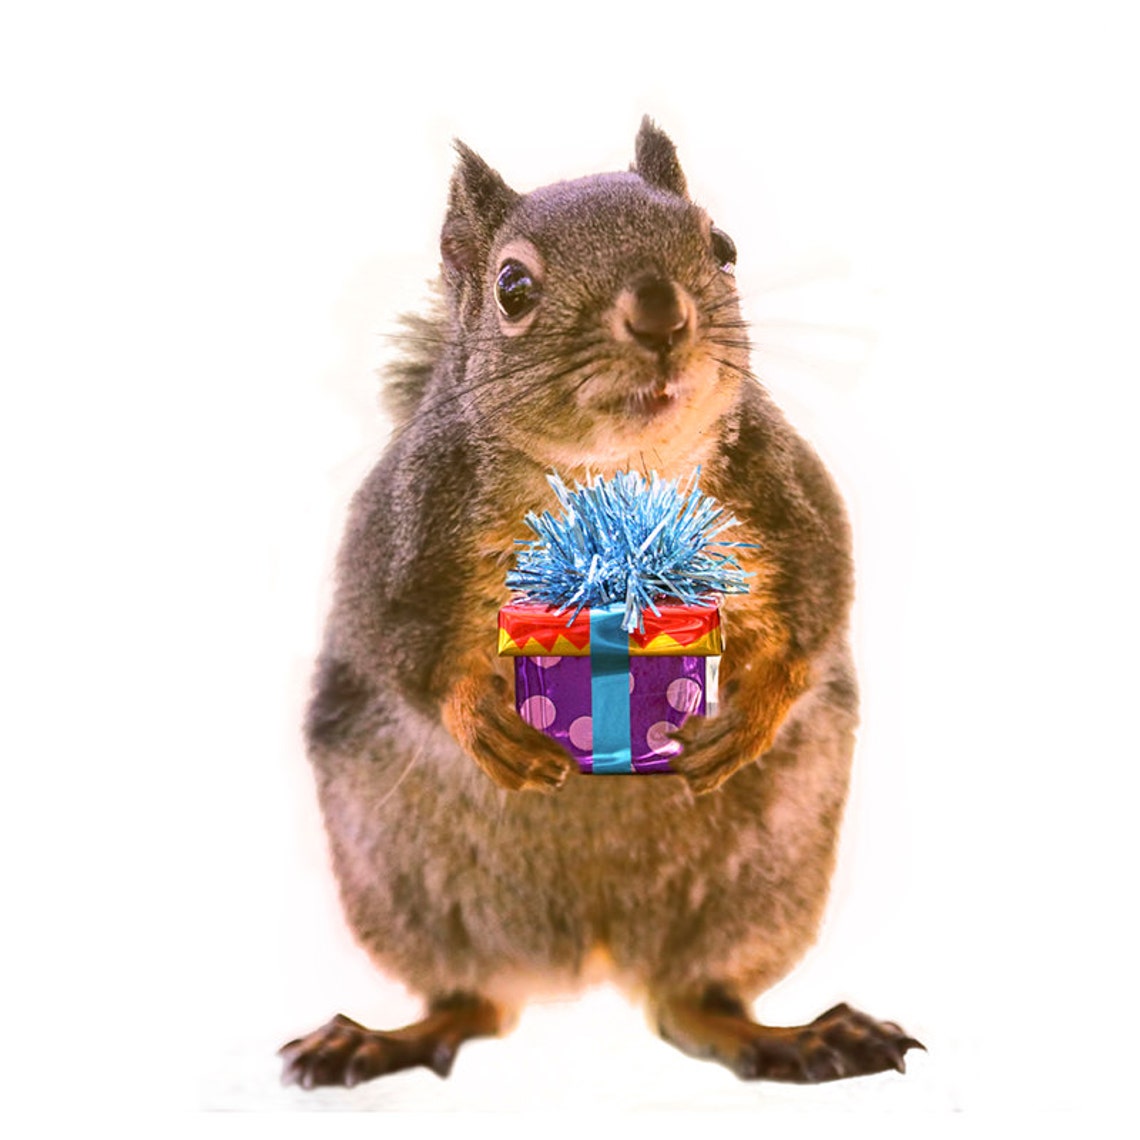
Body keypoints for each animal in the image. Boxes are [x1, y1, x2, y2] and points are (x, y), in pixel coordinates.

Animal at [280, 118, 922, 1089]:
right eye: (512, 287)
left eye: (722, 246)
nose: (661, 314)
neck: (615, 475)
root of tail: (595, 953)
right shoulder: (398, 540)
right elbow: (401, 645)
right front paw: (481, 721)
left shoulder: (790, 499)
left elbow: (818, 606)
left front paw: (749, 716)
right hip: (400, 884)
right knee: (472, 1000)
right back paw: (392, 1036)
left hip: (769, 878)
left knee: (694, 1004)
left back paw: (787, 1037)